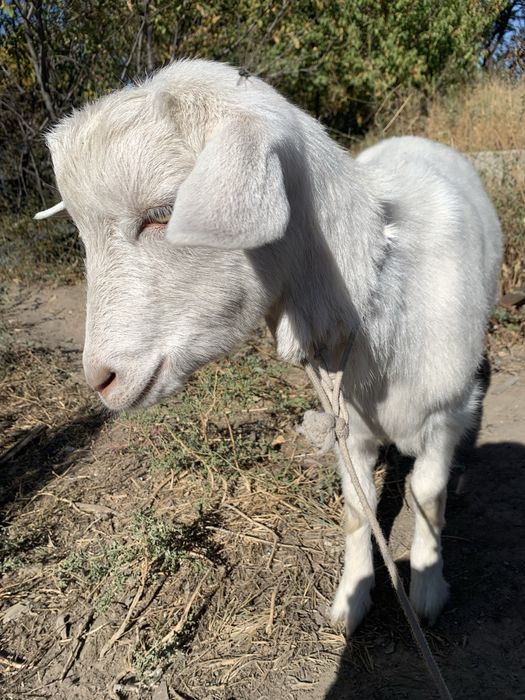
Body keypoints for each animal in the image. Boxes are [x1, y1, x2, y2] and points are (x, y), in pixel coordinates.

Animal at [36, 59, 502, 634]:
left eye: (164, 211)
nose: (101, 380)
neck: (374, 291)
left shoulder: (445, 417)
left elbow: (428, 498)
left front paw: (428, 590)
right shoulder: (351, 424)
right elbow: (357, 507)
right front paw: (351, 599)